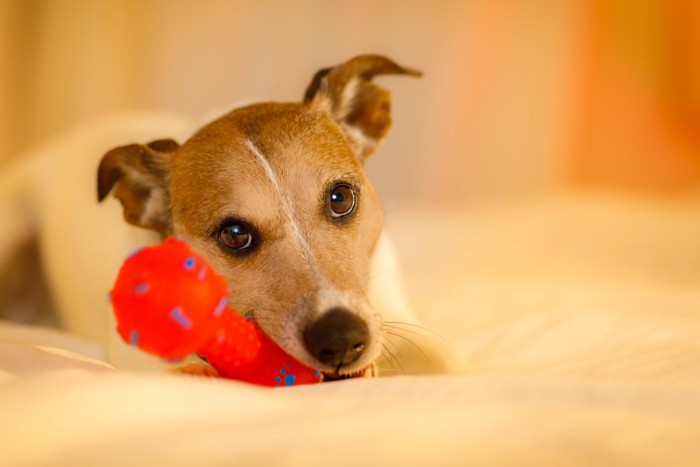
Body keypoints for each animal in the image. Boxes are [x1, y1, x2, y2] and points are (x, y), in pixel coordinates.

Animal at [0, 54, 456, 380]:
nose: (342, 340)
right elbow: (180, 368)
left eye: (341, 198)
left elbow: (447, 361)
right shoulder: (134, 349)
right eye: (234, 234)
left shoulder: (397, 319)